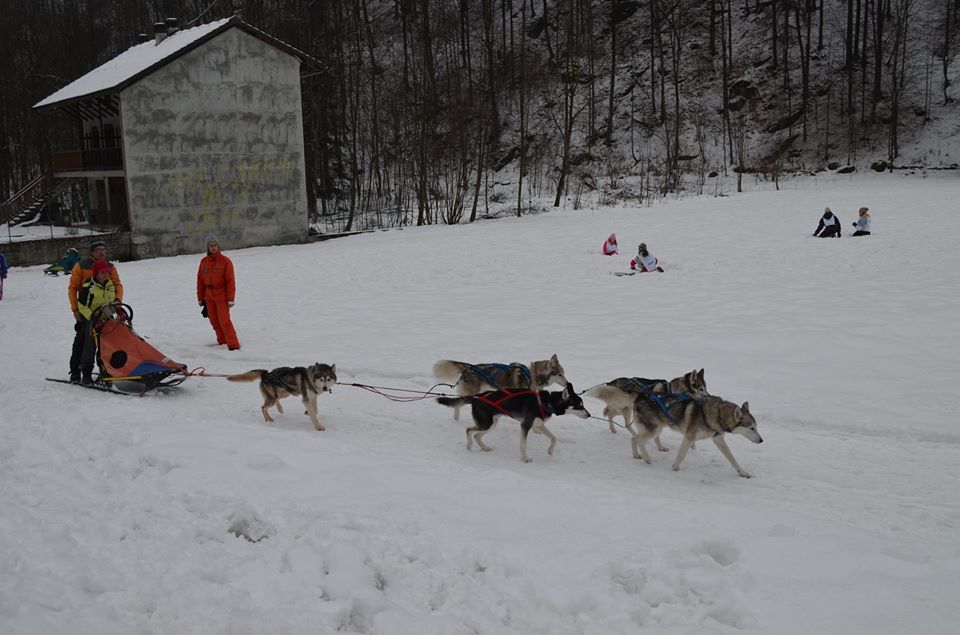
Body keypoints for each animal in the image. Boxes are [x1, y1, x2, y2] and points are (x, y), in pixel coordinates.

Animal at [436, 356, 568, 420]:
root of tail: (469, 368)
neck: (532, 376)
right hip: (470, 392)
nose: (568, 383)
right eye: (560, 374)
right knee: (458, 402)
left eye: (563, 373)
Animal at [436, 382, 588, 462]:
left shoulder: (538, 425)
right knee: (469, 430)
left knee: (477, 435)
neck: (547, 402)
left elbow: (554, 438)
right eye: (579, 406)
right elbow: (523, 445)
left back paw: (485, 448)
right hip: (486, 424)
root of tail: (478, 396)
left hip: (491, 424)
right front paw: (525, 459)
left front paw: (550, 451)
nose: (589, 414)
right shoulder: (525, 425)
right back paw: (469, 446)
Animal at [632, 396, 764, 480]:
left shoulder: (718, 439)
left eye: (756, 427)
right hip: (654, 430)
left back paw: (637, 455)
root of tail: (639, 399)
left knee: (634, 438)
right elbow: (681, 455)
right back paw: (647, 458)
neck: (718, 415)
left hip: (656, 429)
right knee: (638, 439)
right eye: (751, 428)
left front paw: (743, 473)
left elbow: (732, 458)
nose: (761, 440)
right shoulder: (689, 437)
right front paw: (675, 468)